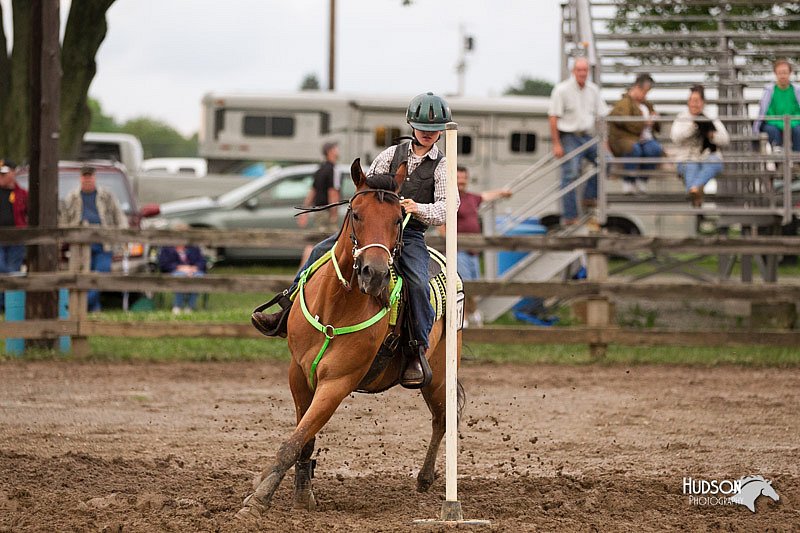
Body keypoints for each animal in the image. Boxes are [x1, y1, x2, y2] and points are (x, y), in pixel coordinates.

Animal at [234, 159, 466, 520]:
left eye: (398, 218)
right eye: (356, 213)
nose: (376, 274)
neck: (335, 305)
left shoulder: (337, 383)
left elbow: (293, 442)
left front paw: (258, 500)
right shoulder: (298, 375)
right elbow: (304, 439)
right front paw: (302, 495)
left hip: (440, 373)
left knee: (444, 418)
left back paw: (429, 481)